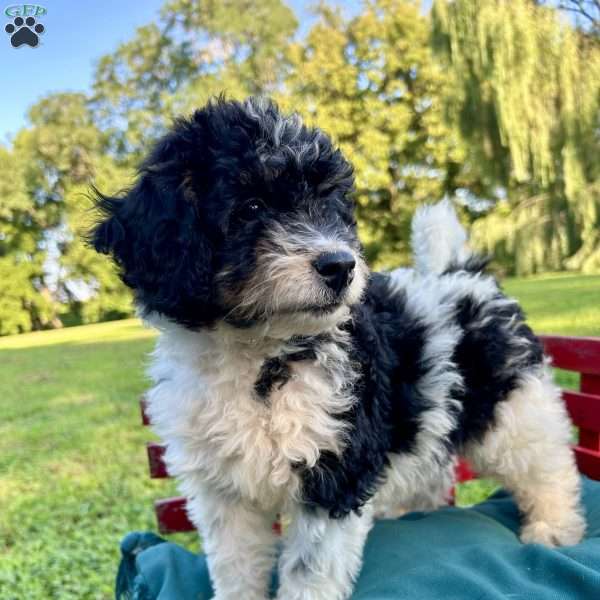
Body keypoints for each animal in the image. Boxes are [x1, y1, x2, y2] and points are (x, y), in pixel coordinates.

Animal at [91, 98, 584, 600]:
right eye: (251, 207)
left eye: (328, 207)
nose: (341, 265)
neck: (264, 357)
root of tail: (461, 272)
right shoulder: (223, 491)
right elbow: (235, 563)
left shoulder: (334, 468)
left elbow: (311, 568)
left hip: (512, 405)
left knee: (545, 463)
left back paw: (554, 527)